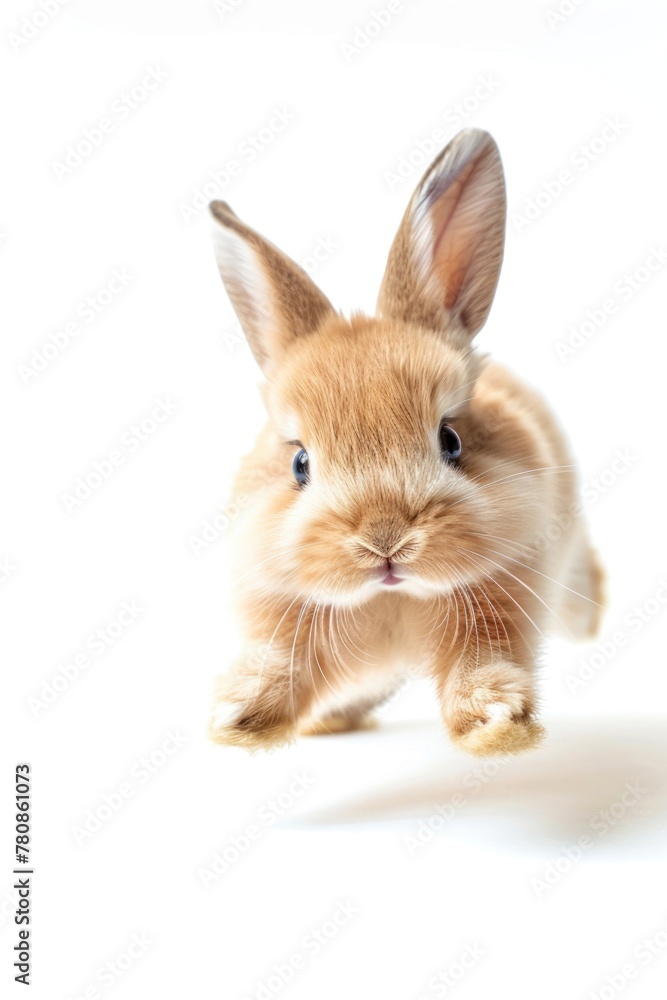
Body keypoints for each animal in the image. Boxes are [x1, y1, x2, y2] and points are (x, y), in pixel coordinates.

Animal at [207, 128, 605, 757]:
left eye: (451, 439)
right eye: (300, 463)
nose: (384, 540)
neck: (391, 598)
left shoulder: (503, 599)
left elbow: (481, 662)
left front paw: (495, 723)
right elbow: (278, 665)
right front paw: (236, 716)